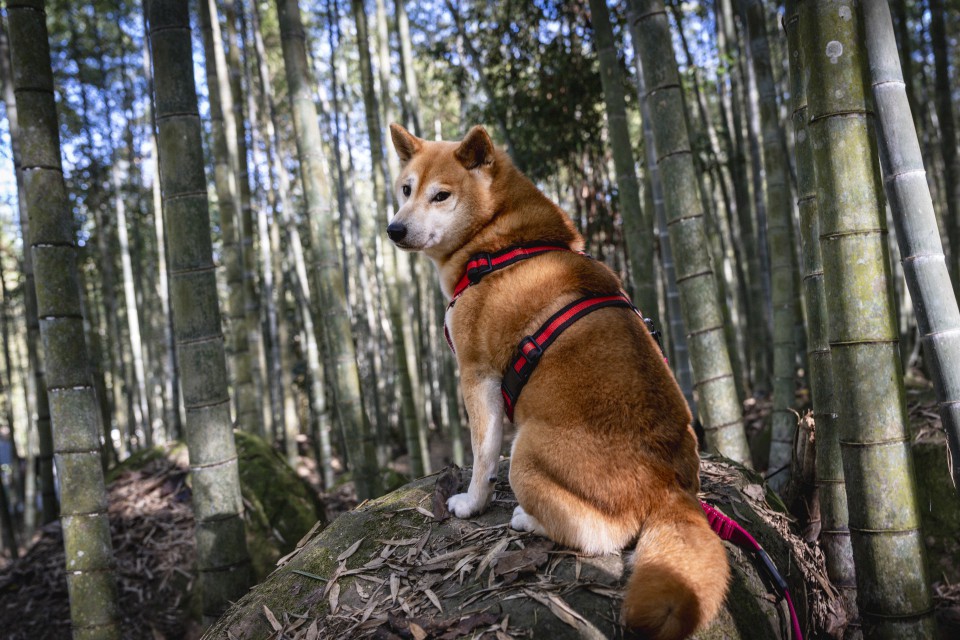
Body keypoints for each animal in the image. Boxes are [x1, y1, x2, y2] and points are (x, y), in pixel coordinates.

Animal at [386, 122, 724, 636]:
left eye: (440, 195)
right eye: (406, 189)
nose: (395, 228)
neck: (498, 242)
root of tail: (669, 488)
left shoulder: (476, 374)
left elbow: (483, 455)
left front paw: (471, 502)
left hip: (525, 456)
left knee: (599, 536)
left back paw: (526, 520)